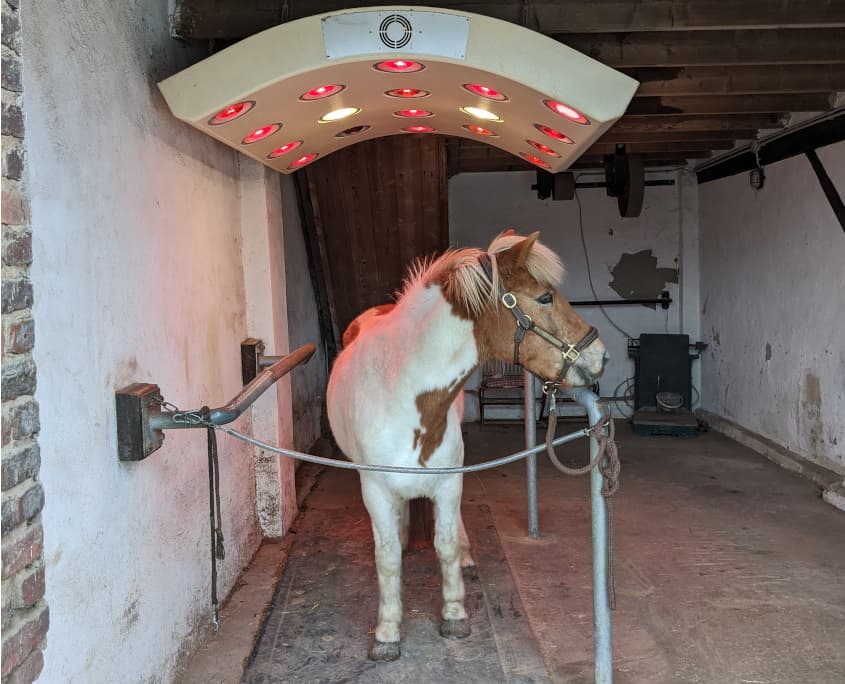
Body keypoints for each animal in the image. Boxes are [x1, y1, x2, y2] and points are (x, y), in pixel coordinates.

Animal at [327, 231, 608, 661]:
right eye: (545, 297)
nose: (600, 356)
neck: (402, 394)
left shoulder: (448, 482)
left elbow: (444, 546)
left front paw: (455, 613)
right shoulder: (375, 490)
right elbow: (387, 558)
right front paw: (387, 632)